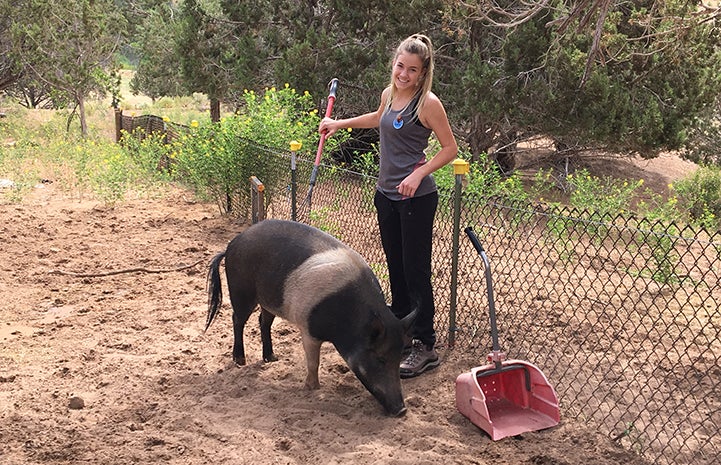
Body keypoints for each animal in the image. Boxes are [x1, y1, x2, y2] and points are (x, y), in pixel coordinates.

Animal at [205, 218, 414, 416]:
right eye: (380, 359)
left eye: (399, 357)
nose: (401, 410)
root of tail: (232, 244)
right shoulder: (308, 329)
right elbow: (314, 361)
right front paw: (312, 388)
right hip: (241, 290)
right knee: (237, 319)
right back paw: (240, 361)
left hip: (269, 300)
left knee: (263, 322)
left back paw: (272, 358)